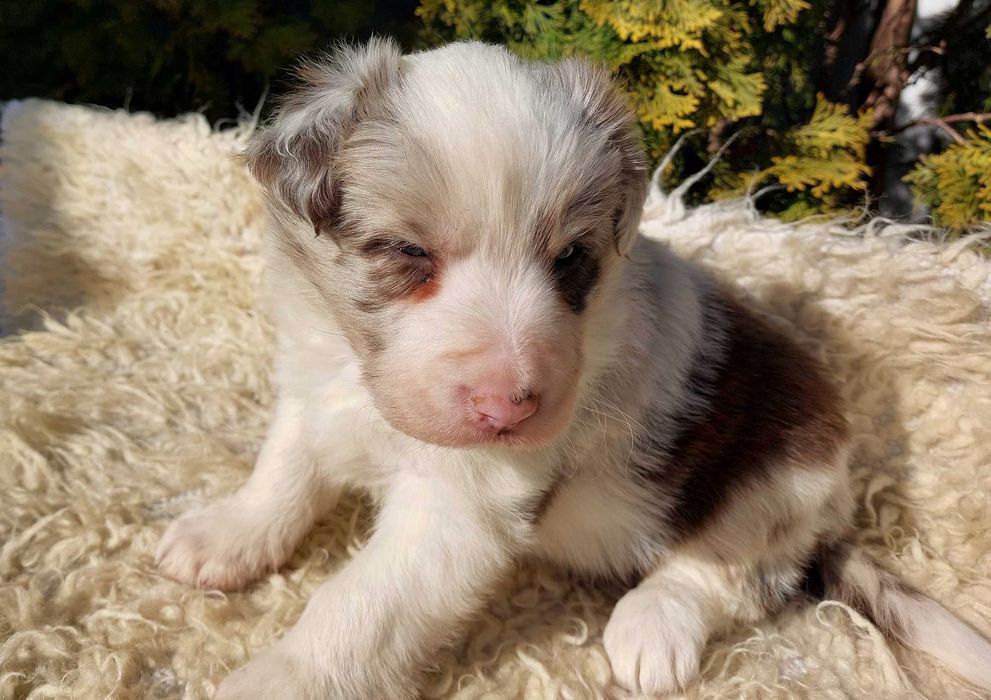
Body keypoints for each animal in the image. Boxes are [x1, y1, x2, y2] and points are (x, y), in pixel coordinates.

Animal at [155, 39, 991, 700]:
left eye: (570, 259)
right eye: (408, 253)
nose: (508, 408)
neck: (361, 385)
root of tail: (832, 513)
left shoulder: (457, 510)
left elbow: (356, 605)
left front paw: (278, 679)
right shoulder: (311, 380)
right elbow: (284, 469)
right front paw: (226, 533)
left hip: (776, 478)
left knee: (732, 575)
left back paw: (652, 626)